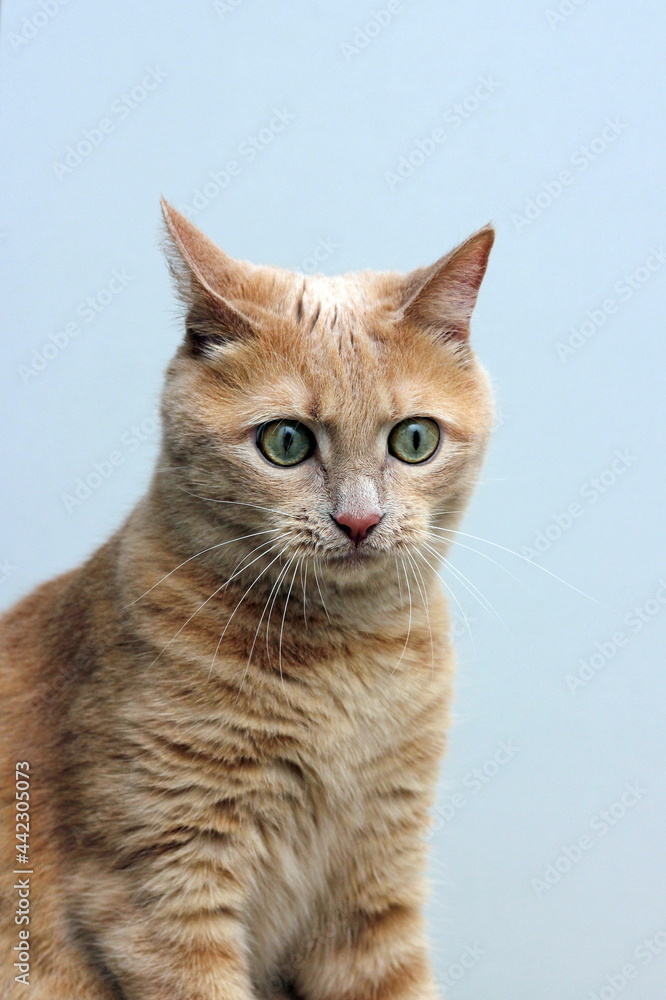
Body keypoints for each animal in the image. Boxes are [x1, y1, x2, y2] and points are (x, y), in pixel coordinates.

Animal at [0, 203, 488, 1000]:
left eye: (414, 439)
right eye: (286, 442)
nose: (360, 520)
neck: (344, 659)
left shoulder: (374, 888)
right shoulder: (162, 890)